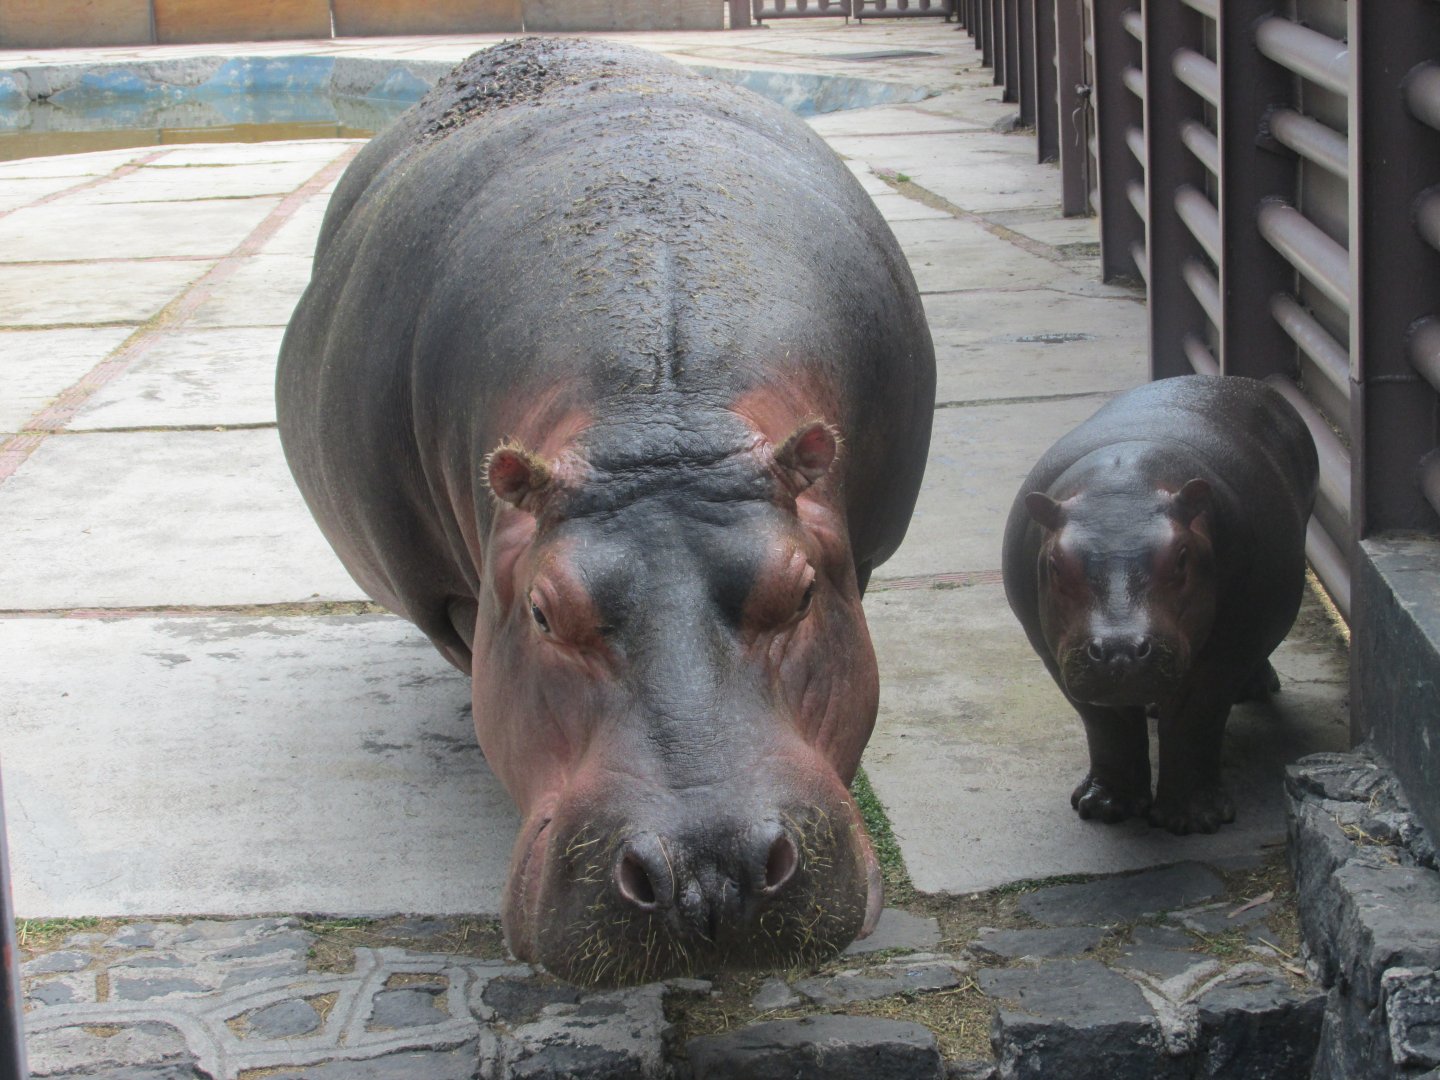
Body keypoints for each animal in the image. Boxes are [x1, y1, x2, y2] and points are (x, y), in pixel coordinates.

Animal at [1001, 375, 1318, 835]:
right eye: (1056, 563)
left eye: (1182, 556)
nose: (1119, 649)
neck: (1124, 489)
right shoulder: (1054, 651)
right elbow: (1107, 724)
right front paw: (1103, 807)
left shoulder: (1229, 648)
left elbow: (1195, 716)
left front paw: (1194, 820)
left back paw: (1257, 688)